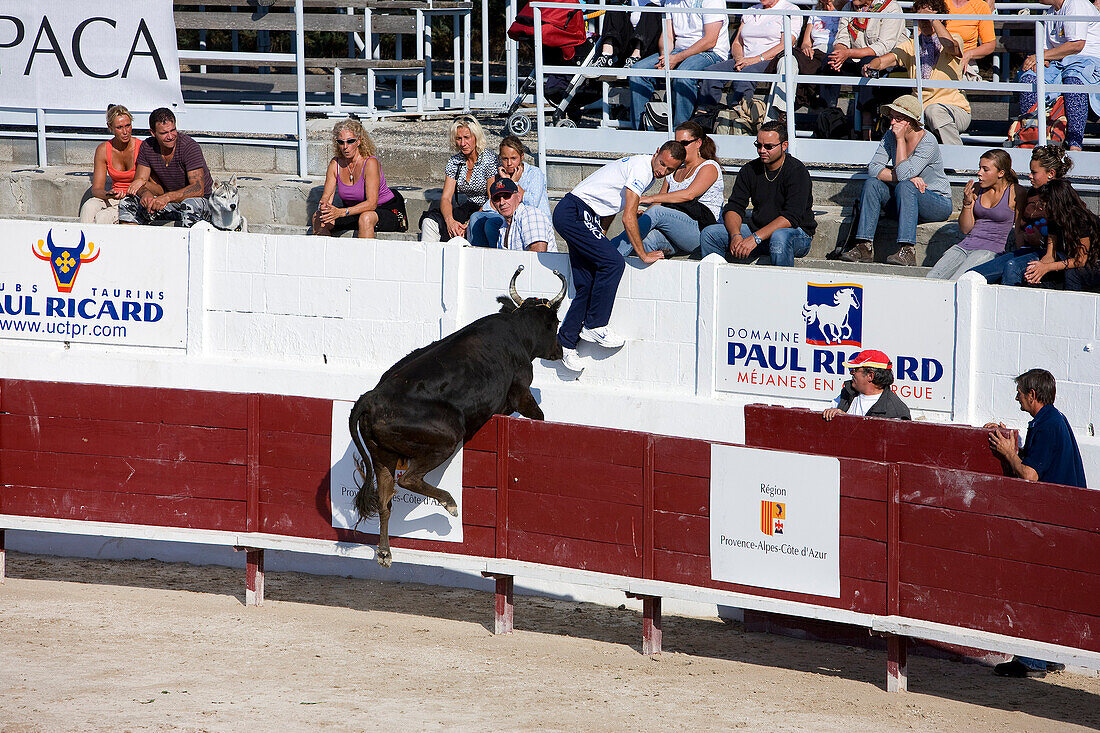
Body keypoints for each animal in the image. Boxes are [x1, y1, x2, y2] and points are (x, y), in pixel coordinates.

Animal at [347, 264, 567, 563]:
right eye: (554, 324)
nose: (560, 350)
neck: (518, 331)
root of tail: (372, 397)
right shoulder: (521, 392)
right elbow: (539, 415)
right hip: (447, 438)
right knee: (410, 479)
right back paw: (450, 503)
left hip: (382, 456)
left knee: (385, 500)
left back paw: (384, 552)